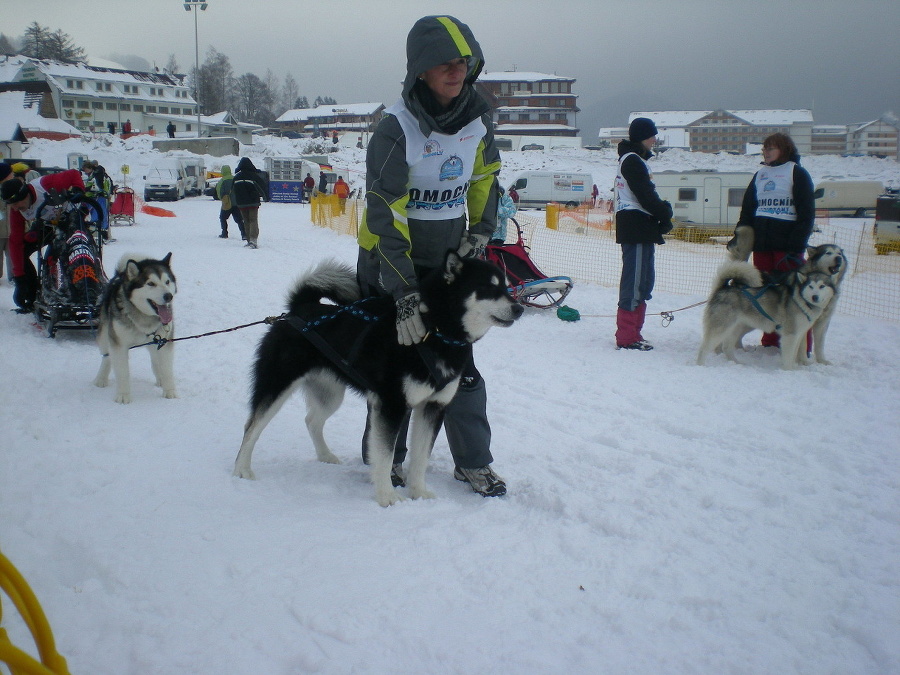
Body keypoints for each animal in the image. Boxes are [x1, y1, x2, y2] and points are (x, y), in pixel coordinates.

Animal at [93, 252, 178, 402]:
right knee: (107, 357)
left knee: (155, 359)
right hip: (104, 335)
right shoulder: (119, 345)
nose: (169, 296)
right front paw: (123, 395)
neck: (144, 318)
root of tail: (120, 274)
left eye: (167, 282)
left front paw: (169, 391)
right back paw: (101, 378)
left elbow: (167, 369)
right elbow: (122, 371)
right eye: (151, 283)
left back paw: (160, 378)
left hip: (155, 341)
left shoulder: (165, 342)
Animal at [232, 254, 524, 508]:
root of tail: (300, 308)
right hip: (277, 385)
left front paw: (418, 492)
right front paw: (387, 497)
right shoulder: (391, 405)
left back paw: (325, 456)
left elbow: (421, 457)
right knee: (251, 426)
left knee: (312, 420)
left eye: (507, 287)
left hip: (330, 395)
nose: (519, 308)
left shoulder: (434, 407)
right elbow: (384, 456)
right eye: (488, 287)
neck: (434, 331)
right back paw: (242, 469)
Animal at [696, 262, 836, 372]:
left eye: (822, 286)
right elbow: (788, 356)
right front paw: (789, 371)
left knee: (727, 348)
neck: (801, 301)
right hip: (721, 328)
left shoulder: (799, 334)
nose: (815, 297)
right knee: (704, 348)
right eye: (811, 286)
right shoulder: (790, 335)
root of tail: (723, 288)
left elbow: (794, 354)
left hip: (735, 328)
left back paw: (736, 363)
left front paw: (794, 368)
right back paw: (700, 365)